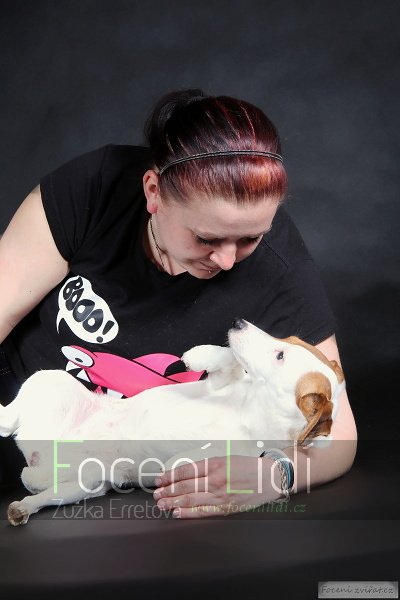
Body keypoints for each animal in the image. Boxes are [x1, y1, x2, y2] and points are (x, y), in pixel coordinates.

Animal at [0, 318, 345, 525]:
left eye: (279, 355)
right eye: (285, 341)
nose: (238, 322)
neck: (251, 409)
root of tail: (34, 449)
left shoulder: (238, 452)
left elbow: (193, 459)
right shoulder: (218, 384)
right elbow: (230, 360)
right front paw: (201, 354)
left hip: (87, 483)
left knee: (39, 485)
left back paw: (25, 501)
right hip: (50, 380)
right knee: (7, 420)